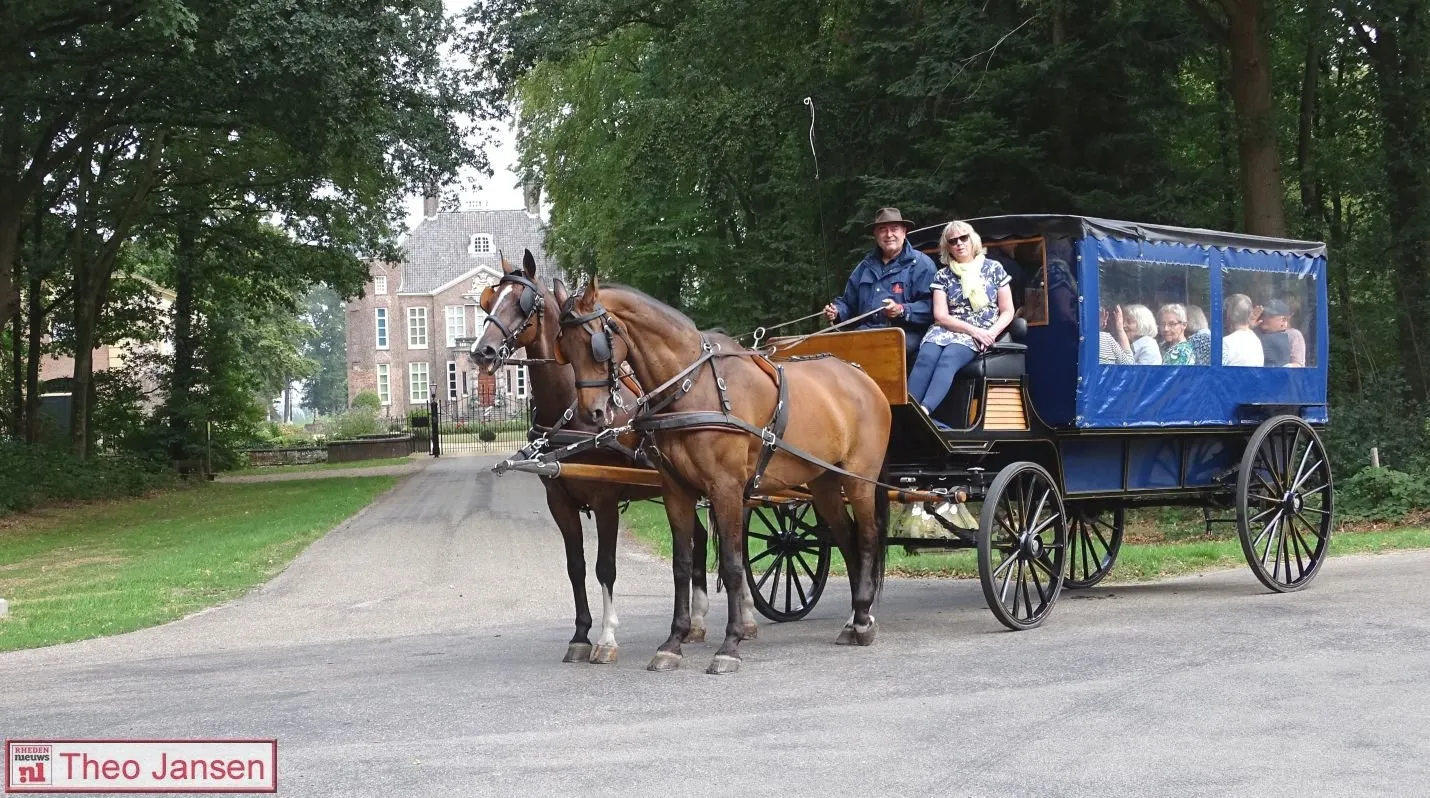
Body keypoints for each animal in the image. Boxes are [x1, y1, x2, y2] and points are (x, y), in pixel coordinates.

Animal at [474, 253, 737, 666]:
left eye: (522, 303)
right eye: (489, 301)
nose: (480, 352)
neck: (570, 409)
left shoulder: (605, 500)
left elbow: (605, 568)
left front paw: (607, 638)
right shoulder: (559, 501)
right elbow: (576, 567)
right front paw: (580, 635)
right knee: (696, 536)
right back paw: (695, 622)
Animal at [551, 280, 886, 675]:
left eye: (594, 344)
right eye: (564, 347)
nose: (595, 413)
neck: (694, 388)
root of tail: (861, 376)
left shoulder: (725, 489)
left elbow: (731, 564)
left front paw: (730, 644)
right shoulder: (675, 490)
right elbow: (682, 564)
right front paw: (673, 642)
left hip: (859, 480)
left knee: (867, 537)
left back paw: (863, 620)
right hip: (824, 483)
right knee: (847, 539)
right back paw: (854, 618)